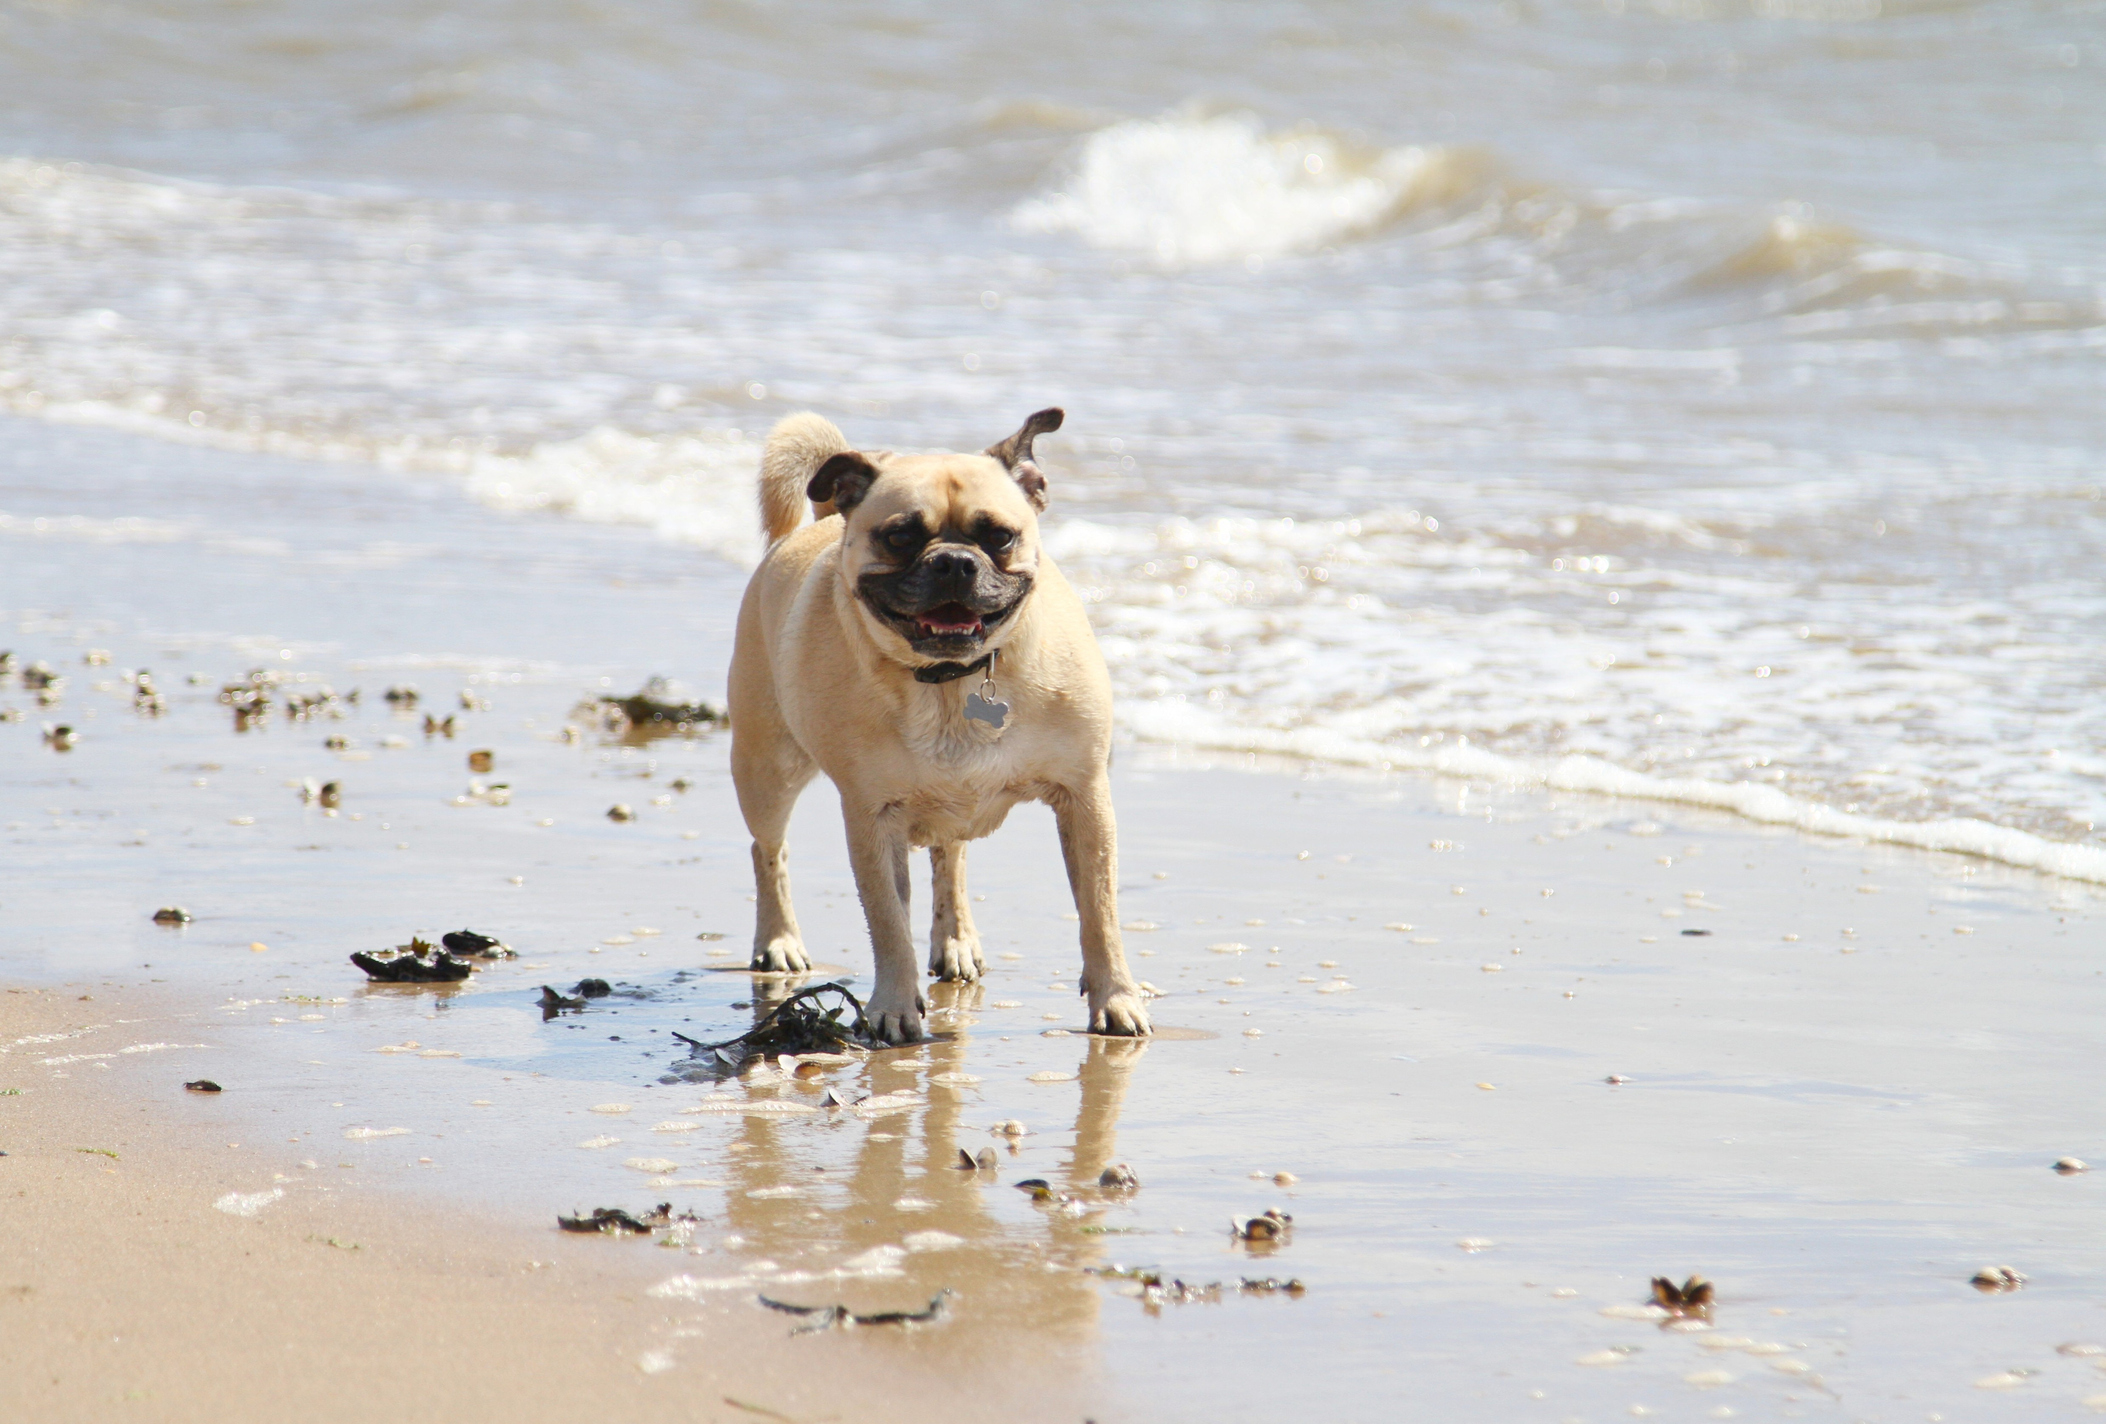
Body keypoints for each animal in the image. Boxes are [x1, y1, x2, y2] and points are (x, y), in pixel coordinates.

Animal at [728, 406, 1154, 1040]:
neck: (953, 681)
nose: (954, 561)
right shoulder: (871, 819)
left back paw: (955, 942)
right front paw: (893, 1007)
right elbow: (887, 923)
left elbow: (1099, 914)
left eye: (999, 536)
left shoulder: (1085, 800)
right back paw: (778, 940)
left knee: (950, 857)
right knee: (768, 851)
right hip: (767, 769)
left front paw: (1117, 999)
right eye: (900, 537)